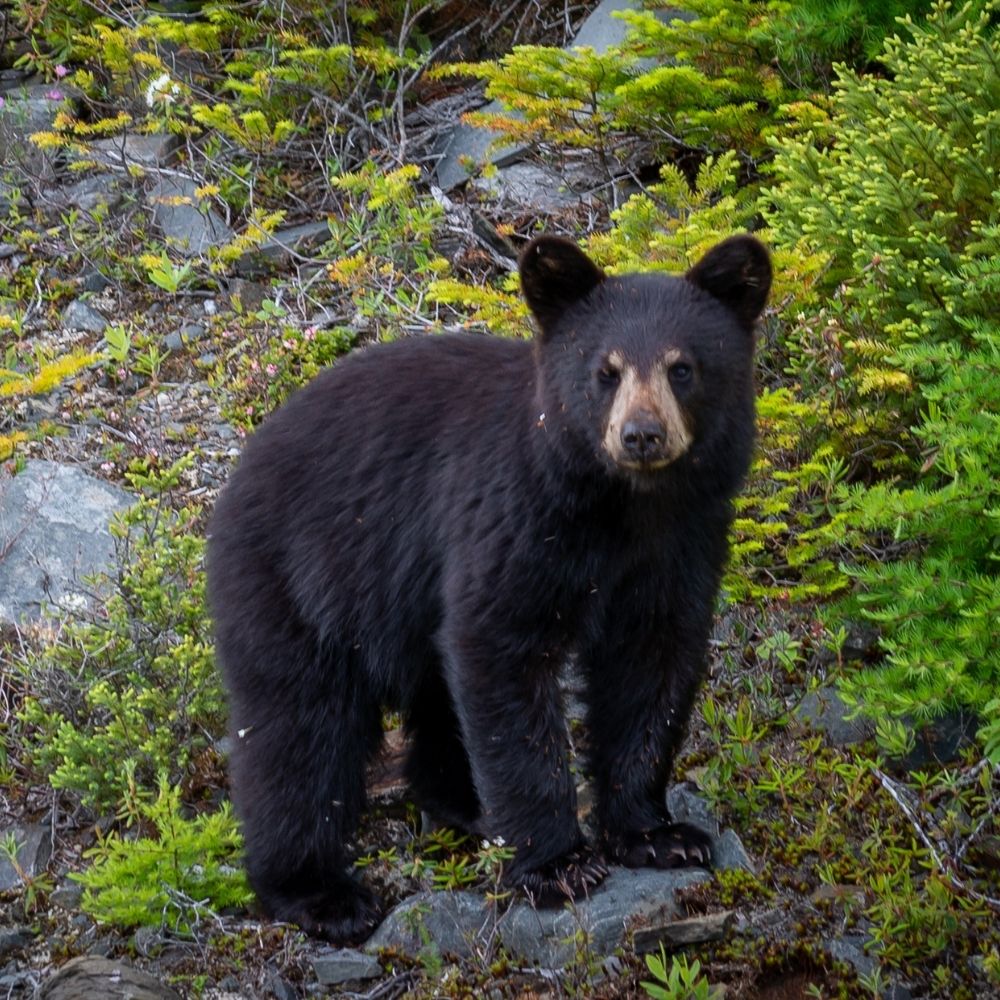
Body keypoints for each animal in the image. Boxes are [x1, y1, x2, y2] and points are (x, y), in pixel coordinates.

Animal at [207, 232, 771, 944]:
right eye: (606, 370)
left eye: (682, 368)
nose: (641, 434)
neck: (622, 507)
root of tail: (240, 468)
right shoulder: (514, 518)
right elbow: (501, 653)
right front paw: (556, 866)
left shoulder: (682, 542)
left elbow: (652, 666)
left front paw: (657, 834)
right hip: (297, 582)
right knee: (299, 730)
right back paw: (319, 891)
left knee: (433, 697)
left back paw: (464, 805)